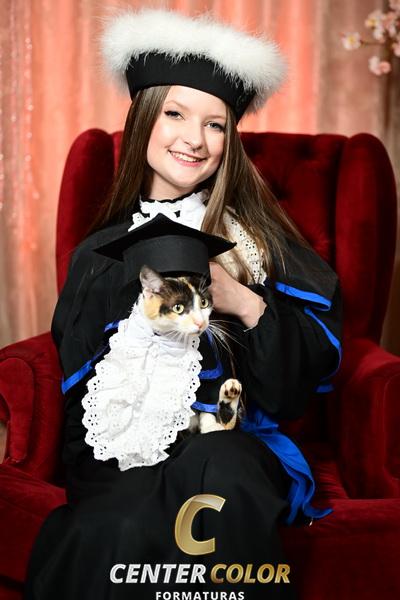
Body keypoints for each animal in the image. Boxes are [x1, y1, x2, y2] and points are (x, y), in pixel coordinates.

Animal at [137, 264, 245, 435]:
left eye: (203, 303)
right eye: (178, 308)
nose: (201, 322)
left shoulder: (210, 368)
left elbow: (209, 401)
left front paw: (210, 425)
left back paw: (231, 392)